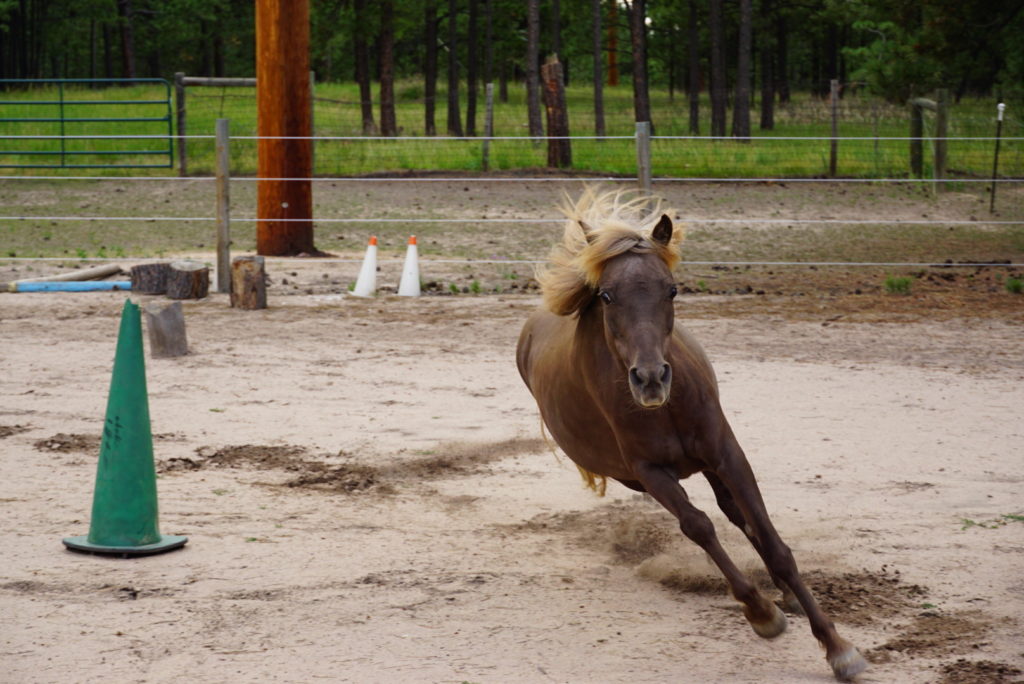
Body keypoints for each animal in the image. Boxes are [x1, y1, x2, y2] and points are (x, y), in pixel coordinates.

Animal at [520, 187, 864, 679]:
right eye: (606, 295)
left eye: (672, 289)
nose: (650, 379)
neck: (668, 407)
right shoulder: (650, 472)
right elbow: (698, 526)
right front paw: (761, 613)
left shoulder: (727, 454)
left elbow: (771, 540)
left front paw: (836, 646)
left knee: (739, 516)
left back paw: (788, 594)